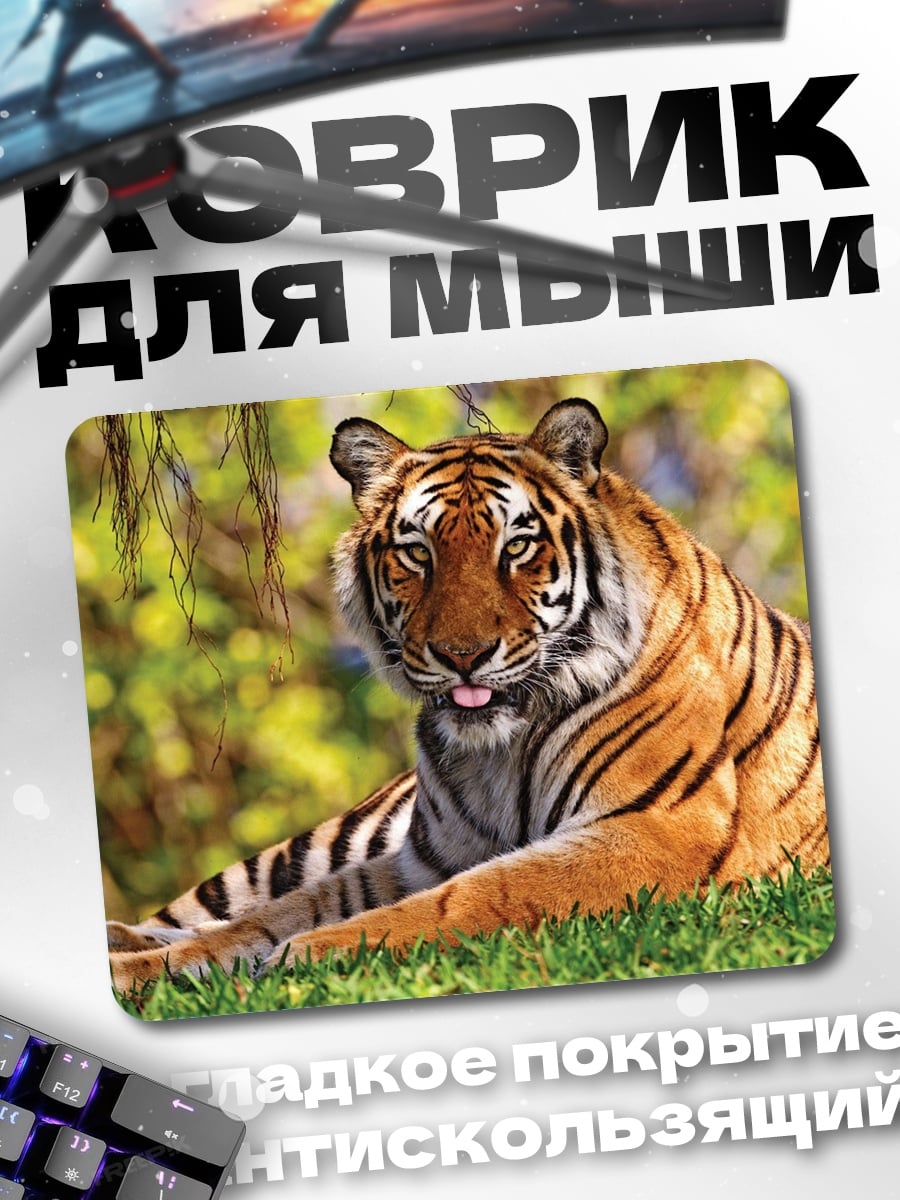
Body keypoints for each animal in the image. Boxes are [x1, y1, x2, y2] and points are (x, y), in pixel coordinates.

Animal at [107, 397, 828, 991]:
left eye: (518, 547)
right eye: (418, 553)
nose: (462, 657)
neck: (500, 752)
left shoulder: (657, 829)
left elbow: (474, 896)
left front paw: (309, 955)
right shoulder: (423, 857)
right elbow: (274, 915)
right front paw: (146, 970)